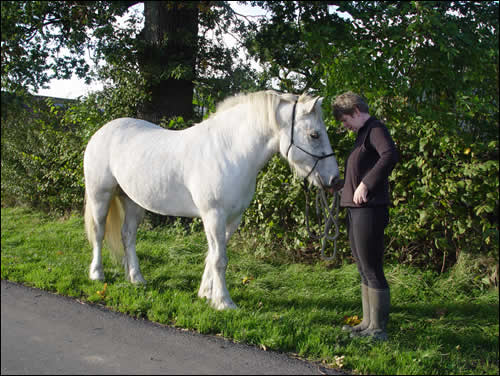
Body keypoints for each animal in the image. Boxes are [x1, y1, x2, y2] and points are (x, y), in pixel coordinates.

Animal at [85, 89, 340, 310]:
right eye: (314, 134)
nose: (335, 180)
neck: (229, 151)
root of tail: (102, 132)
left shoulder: (232, 219)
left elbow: (213, 256)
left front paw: (206, 294)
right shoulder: (213, 215)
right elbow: (219, 259)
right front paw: (224, 302)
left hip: (133, 202)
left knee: (128, 236)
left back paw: (137, 278)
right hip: (100, 195)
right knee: (98, 233)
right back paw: (97, 274)